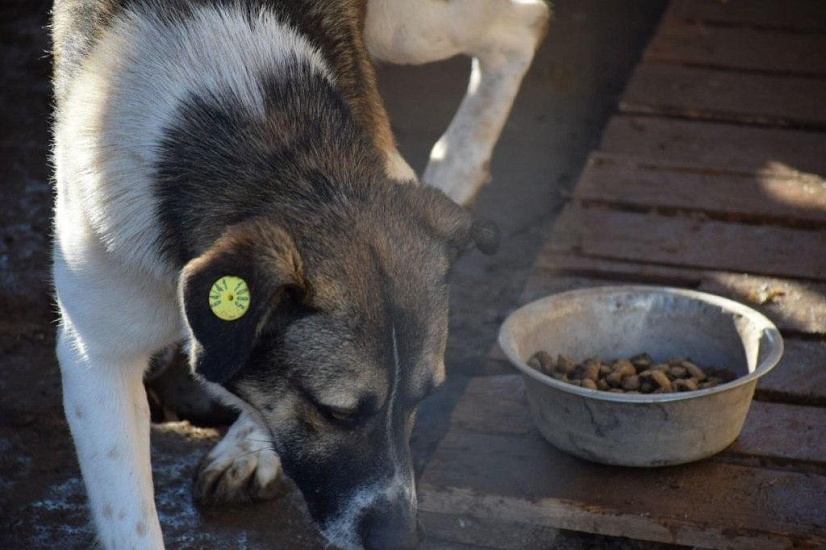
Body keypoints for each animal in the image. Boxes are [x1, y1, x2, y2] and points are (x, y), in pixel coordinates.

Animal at [51, 2, 548, 548]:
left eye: (423, 398)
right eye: (335, 412)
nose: (399, 539)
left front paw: (248, 445)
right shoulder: (96, 358)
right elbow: (131, 522)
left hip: (408, 27)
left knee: (523, 25)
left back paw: (458, 162)